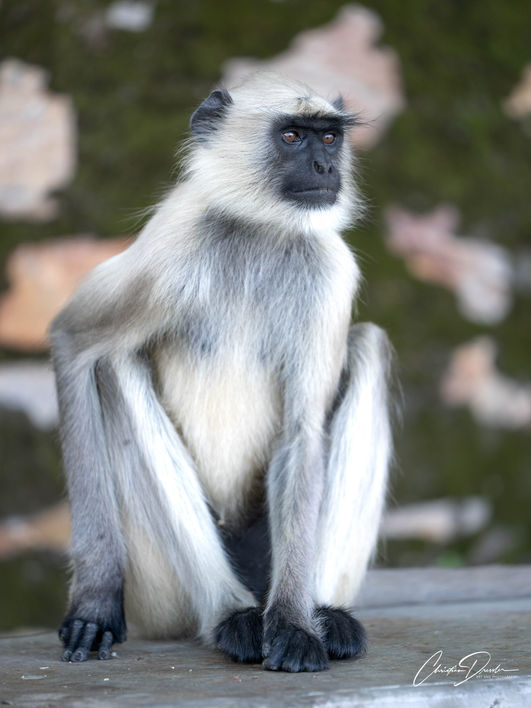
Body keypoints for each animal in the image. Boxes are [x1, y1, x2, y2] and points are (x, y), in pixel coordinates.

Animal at [50, 73, 393, 673]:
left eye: (329, 138)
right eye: (291, 135)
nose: (326, 167)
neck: (260, 230)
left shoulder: (329, 268)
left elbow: (303, 433)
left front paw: (296, 625)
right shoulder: (172, 243)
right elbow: (73, 343)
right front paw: (95, 601)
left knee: (367, 344)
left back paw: (324, 613)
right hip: (161, 594)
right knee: (114, 363)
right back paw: (231, 615)